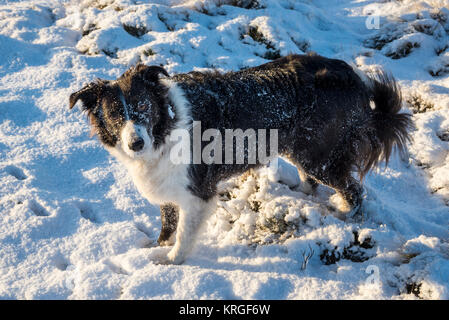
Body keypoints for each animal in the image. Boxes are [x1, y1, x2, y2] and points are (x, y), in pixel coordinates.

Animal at [69, 53, 410, 264]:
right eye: (115, 115)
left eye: (142, 105)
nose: (136, 144)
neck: (167, 122)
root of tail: (355, 77)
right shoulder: (167, 185)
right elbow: (168, 223)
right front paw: (158, 247)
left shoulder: (199, 192)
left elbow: (183, 234)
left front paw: (171, 262)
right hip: (302, 149)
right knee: (313, 181)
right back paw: (301, 195)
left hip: (319, 155)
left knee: (354, 190)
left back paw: (343, 215)